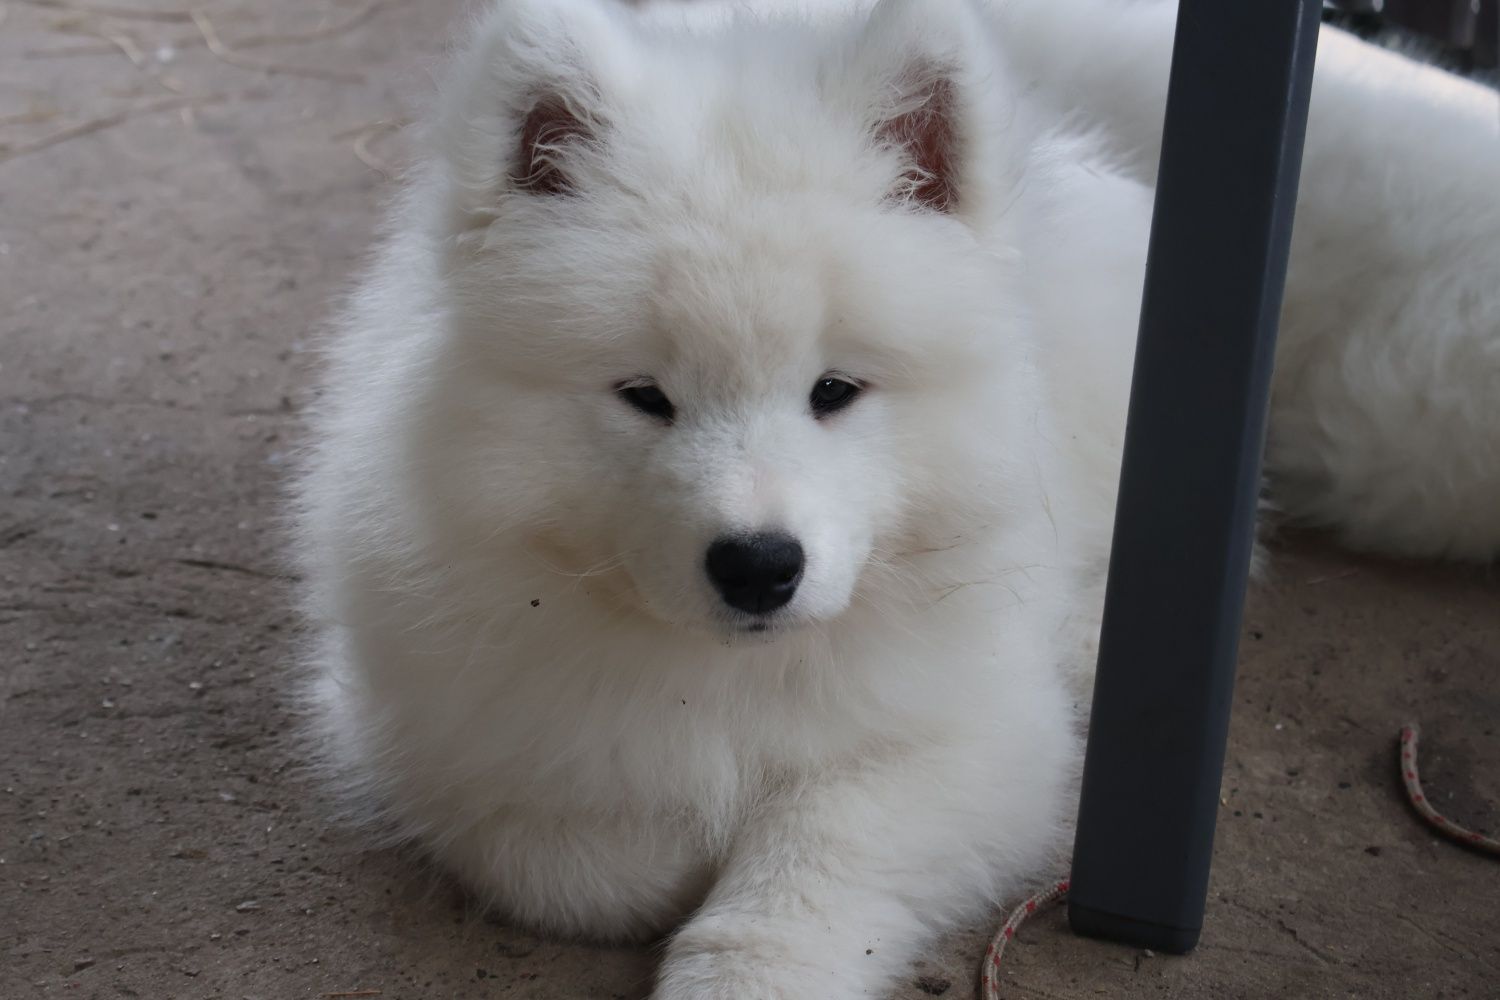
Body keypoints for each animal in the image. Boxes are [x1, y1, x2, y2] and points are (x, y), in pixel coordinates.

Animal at [295, 0, 1500, 995]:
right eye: (645, 397)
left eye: (835, 390)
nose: (759, 565)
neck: (730, 676)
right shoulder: (442, 743)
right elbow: (586, 854)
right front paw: (675, 849)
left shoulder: (971, 742)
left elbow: (821, 850)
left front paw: (748, 964)